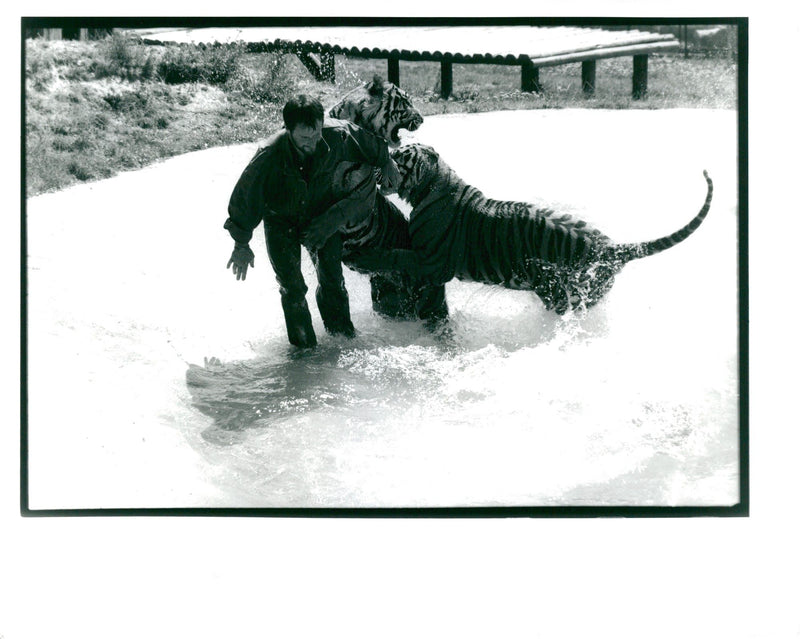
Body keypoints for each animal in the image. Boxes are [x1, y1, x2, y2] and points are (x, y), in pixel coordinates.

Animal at [356, 142, 712, 318]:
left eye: (398, 156)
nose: (376, 168)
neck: (430, 183)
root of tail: (611, 246)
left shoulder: (431, 262)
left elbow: (396, 254)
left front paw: (368, 256)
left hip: (565, 289)